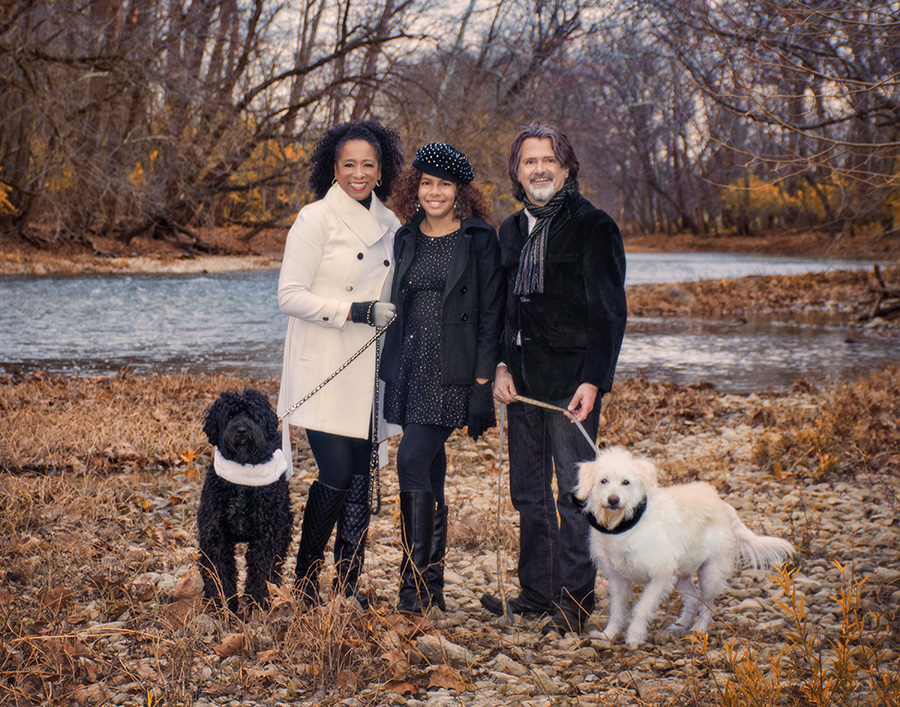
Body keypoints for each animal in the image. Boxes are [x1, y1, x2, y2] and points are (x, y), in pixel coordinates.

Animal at [199, 388, 294, 612]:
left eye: (252, 415)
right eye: (230, 415)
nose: (242, 430)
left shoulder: (267, 535)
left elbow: (262, 569)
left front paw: (257, 602)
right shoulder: (215, 534)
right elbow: (219, 570)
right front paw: (221, 603)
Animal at [576, 448, 796, 648]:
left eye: (626, 482)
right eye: (603, 481)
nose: (613, 500)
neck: (626, 526)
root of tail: (723, 505)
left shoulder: (661, 575)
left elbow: (642, 607)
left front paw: (635, 636)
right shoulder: (618, 578)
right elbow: (616, 610)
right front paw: (609, 634)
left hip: (710, 573)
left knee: (707, 604)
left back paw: (698, 629)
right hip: (682, 574)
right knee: (693, 600)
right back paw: (679, 626)